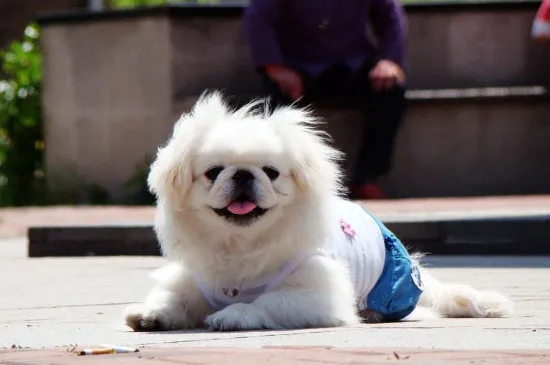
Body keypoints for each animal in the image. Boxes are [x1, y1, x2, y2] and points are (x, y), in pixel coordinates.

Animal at [123, 90, 516, 330]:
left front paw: (236, 313)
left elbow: (269, 301)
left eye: (270, 172)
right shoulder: (194, 280)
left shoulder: (319, 296)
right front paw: (151, 314)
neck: (241, 246)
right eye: (213, 172)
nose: (243, 175)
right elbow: (174, 297)